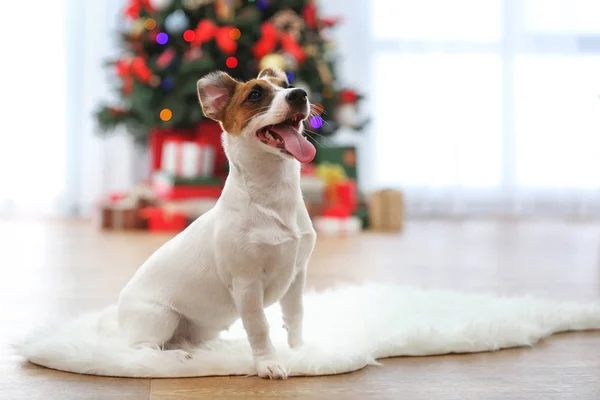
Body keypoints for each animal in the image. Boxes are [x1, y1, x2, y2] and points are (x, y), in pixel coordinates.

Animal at [115, 68, 316, 378]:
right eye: (255, 94)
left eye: (286, 85)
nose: (300, 94)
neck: (274, 196)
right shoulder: (247, 285)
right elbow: (260, 327)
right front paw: (267, 363)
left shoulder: (297, 276)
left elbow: (294, 317)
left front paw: (299, 352)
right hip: (160, 316)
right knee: (140, 350)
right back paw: (176, 357)